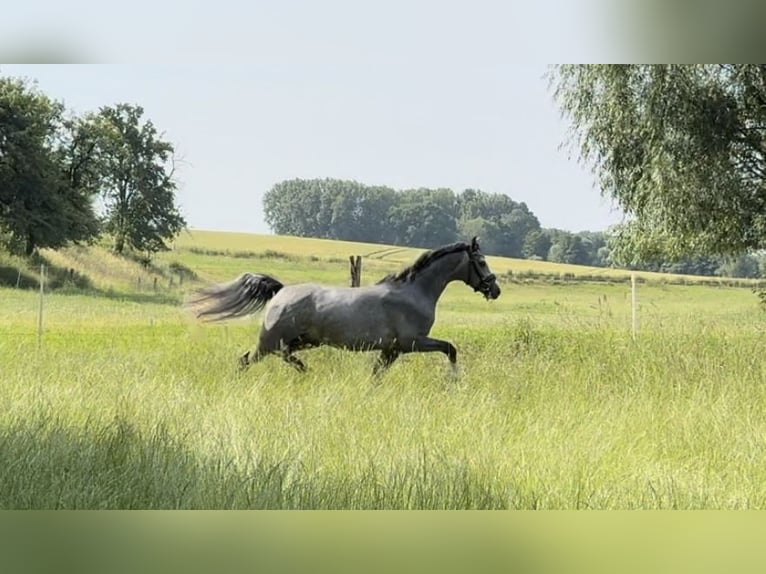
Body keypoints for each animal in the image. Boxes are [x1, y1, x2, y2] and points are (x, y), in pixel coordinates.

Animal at [190, 236, 504, 376]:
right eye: (482, 261)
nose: (495, 289)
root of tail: (281, 290)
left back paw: (304, 371)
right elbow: (450, 348)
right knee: (246, 360)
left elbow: (376, 376)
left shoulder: (391, 350)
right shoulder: (411, 343)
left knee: (283, 356)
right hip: (269, 341)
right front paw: (454, 381)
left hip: (302, 341)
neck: (415, 292)